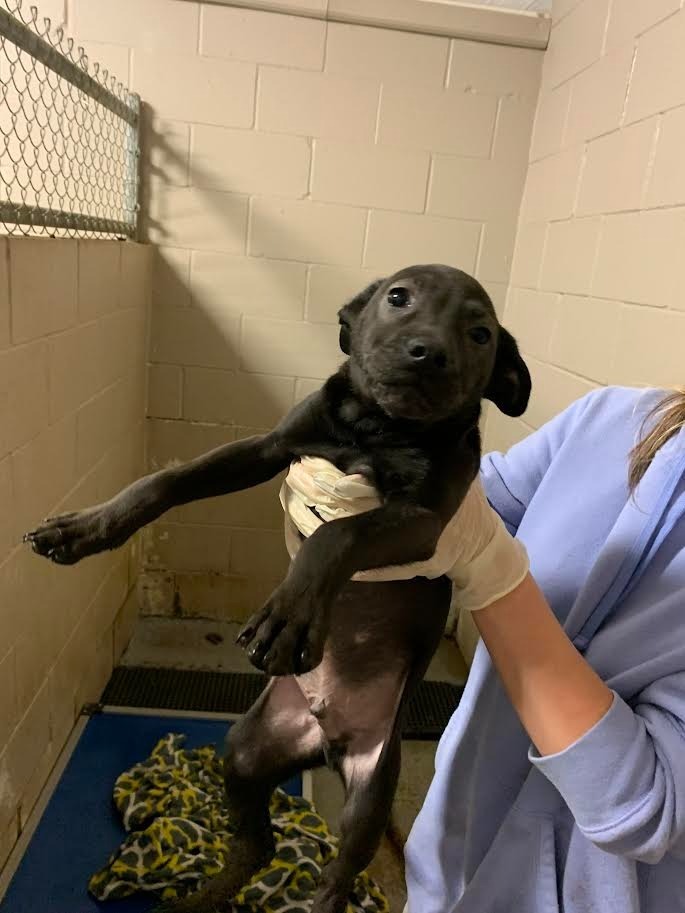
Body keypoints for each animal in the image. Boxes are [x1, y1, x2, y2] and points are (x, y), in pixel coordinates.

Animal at [25, 264, 528, 912]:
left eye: (480, 334)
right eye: (398, 297)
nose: (429, 353)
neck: (377, 428)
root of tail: (324, 737)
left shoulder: (423, 521)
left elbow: (336, 533)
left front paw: (288, 618)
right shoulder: (268, 449)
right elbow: (165, 481)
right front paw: (81, 530)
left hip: (369, 792)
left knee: (335, 875)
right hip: (243, 752)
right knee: (257, 846)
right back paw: (201, 898)